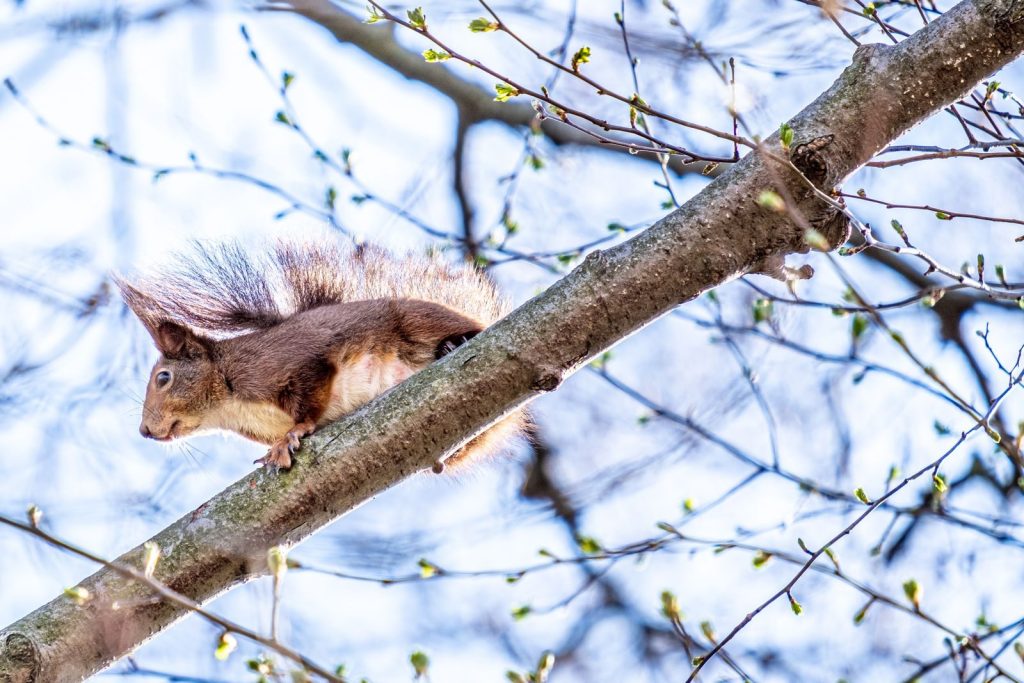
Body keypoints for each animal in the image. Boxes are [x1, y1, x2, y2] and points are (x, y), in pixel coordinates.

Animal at [116, 240, 523, 470]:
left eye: (163, 378)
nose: (144, 431)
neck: (228, 405)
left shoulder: (291, 364)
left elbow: (309, 400)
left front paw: (291, 436)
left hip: (418, 321)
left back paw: (456, 343)